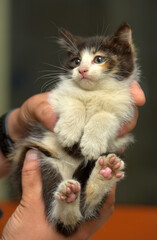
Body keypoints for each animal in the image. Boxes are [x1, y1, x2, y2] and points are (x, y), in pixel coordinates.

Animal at [9, 23, 139, 237]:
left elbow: (107, 115)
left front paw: (92, 143)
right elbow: (72, 101)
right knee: (62, 217)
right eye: (76, 61)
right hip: (42, 158)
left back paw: (105, 174)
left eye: (99, 59)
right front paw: (68, 131)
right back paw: (68, 203)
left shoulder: (125, 111)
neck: (93, 92)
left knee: (86, 208)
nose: (82, 70)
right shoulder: (53, 98)